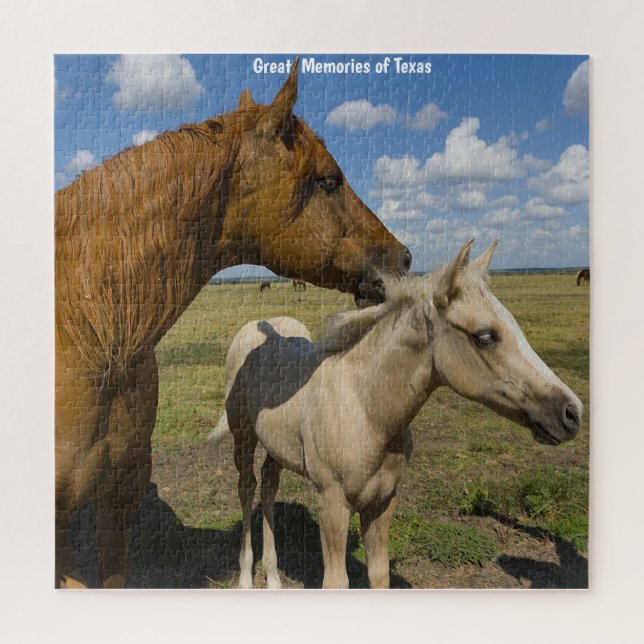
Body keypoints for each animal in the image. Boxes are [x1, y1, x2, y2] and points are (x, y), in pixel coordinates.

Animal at [209, 239, 583, 589]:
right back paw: (246, 578)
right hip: (243, 436)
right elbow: (336, 581)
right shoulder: (332, 504)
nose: (571, 413)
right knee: (247, 487)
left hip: (276, 446)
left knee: (269, 485)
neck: (366, 409)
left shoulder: (383, 501)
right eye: (486, 336)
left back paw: (273, 577)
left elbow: (379, 574)